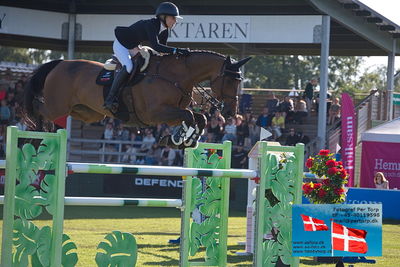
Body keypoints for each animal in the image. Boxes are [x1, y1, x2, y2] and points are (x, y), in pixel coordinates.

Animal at [21, 51, 250, 150]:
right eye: (231, 80)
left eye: (240, 81)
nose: (231, 113)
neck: (175, 76)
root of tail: (60, 63)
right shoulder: (155, 113)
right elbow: (190, 116)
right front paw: (178, 138)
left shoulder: (170, 113)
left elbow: (198, 118)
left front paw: (185, 140)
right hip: (57, 105)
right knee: (38, 108)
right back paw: (37, 133)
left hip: (85, 112)